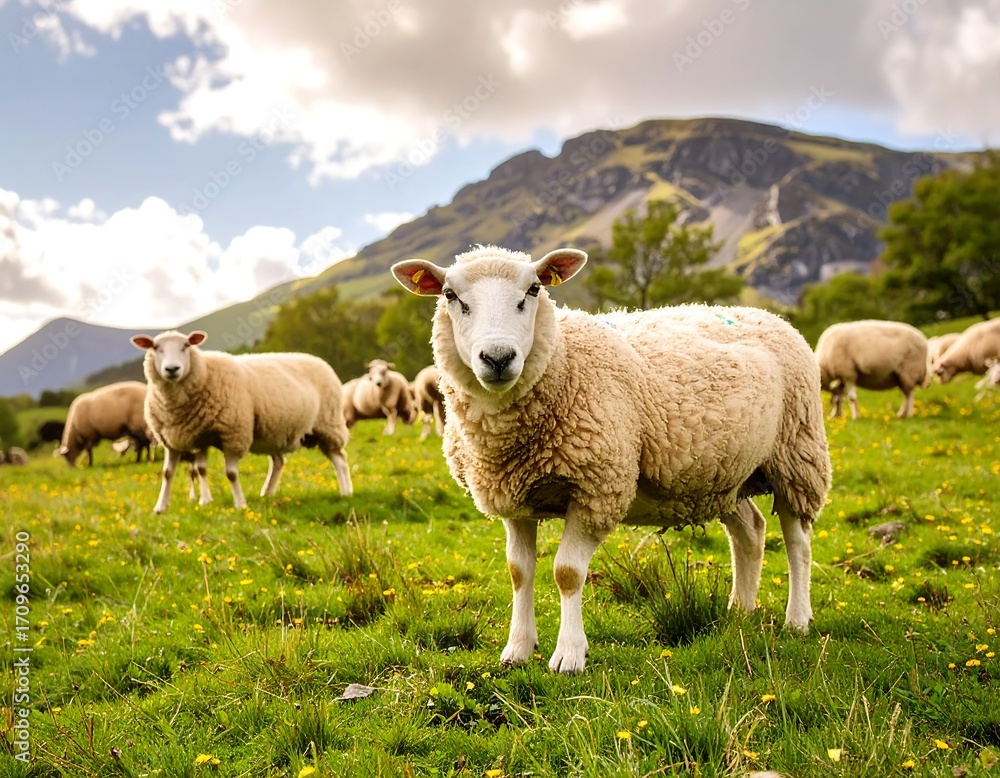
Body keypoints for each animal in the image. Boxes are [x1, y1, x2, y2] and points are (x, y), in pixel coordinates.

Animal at [130, 330, 353, 513]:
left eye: (186, 345)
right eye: (155, 347)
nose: (172, 369)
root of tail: (318, 360)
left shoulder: (233, 433)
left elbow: (230, 474)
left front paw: (240, 504)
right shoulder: (180, 439)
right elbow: (171, 473)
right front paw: (162, 507)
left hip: (328, 424)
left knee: (340, 459)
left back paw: (346, 492)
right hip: (275, 432)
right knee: (279, 462)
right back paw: (267, 493)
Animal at [391, 245, 831, 674]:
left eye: (533, 290)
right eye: (450, 295)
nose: (498, 358)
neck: (564, 362)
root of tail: (771, 316)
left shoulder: (597, 489)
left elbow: (567, 573)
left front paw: (569, 656)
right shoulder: (514, 499)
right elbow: (519, 572)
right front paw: (517, 649)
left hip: (797, 455)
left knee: (797, 541)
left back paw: (797, 619)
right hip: (722, 474)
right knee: (750, 532)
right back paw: (740, 611)